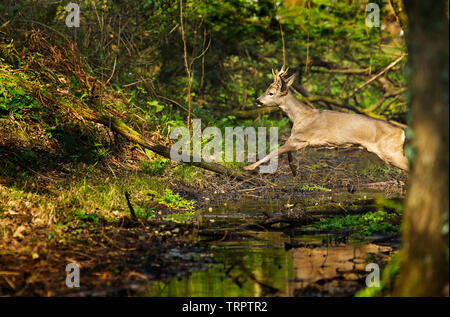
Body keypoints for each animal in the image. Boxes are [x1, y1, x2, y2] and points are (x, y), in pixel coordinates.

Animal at [244, 67, 410, 174]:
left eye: (271, 93)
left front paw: (249, 167)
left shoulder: (300, 138)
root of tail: (402, 132)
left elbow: (274, 151)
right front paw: (293, 169)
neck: (299, 116)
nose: (257, 100)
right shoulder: (297, 139)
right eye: (266, 90)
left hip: (391, 151)